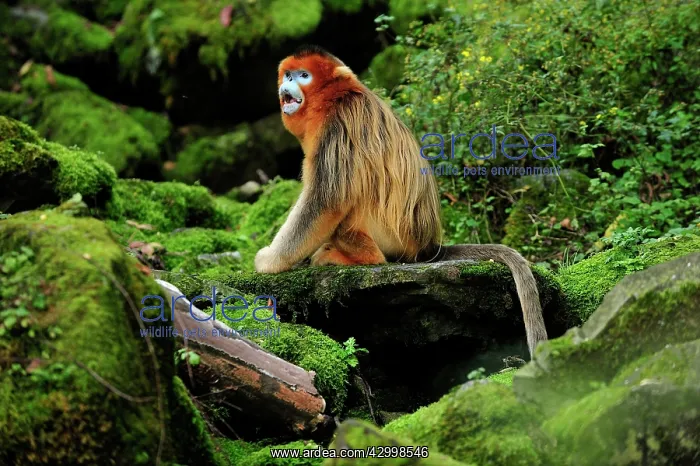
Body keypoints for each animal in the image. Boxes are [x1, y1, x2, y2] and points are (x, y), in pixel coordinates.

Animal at [254, 45, 548, 358]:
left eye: (304, 76)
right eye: (288, 75)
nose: (287, 84)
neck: (334, 98)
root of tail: (428, 247)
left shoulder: (337, 125)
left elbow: (326, 201)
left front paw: (271, 261)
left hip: (390, 235)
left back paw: (357, 256)